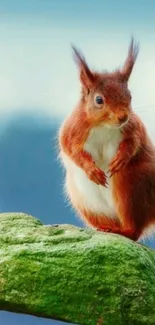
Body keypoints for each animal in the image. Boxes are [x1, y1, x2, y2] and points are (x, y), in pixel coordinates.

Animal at [57, 38, 155, 240]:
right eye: (99, 100)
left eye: (130, 96)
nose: (123, 117)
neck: (104, 126)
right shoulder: (72, 131)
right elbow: (71, 150)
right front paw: (91, 170)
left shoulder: (134, 128)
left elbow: (134, 143)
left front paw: (121, 158)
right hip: (86, 202)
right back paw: (106, 228)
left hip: (130, 185)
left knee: (134, 231)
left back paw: (122, 230)